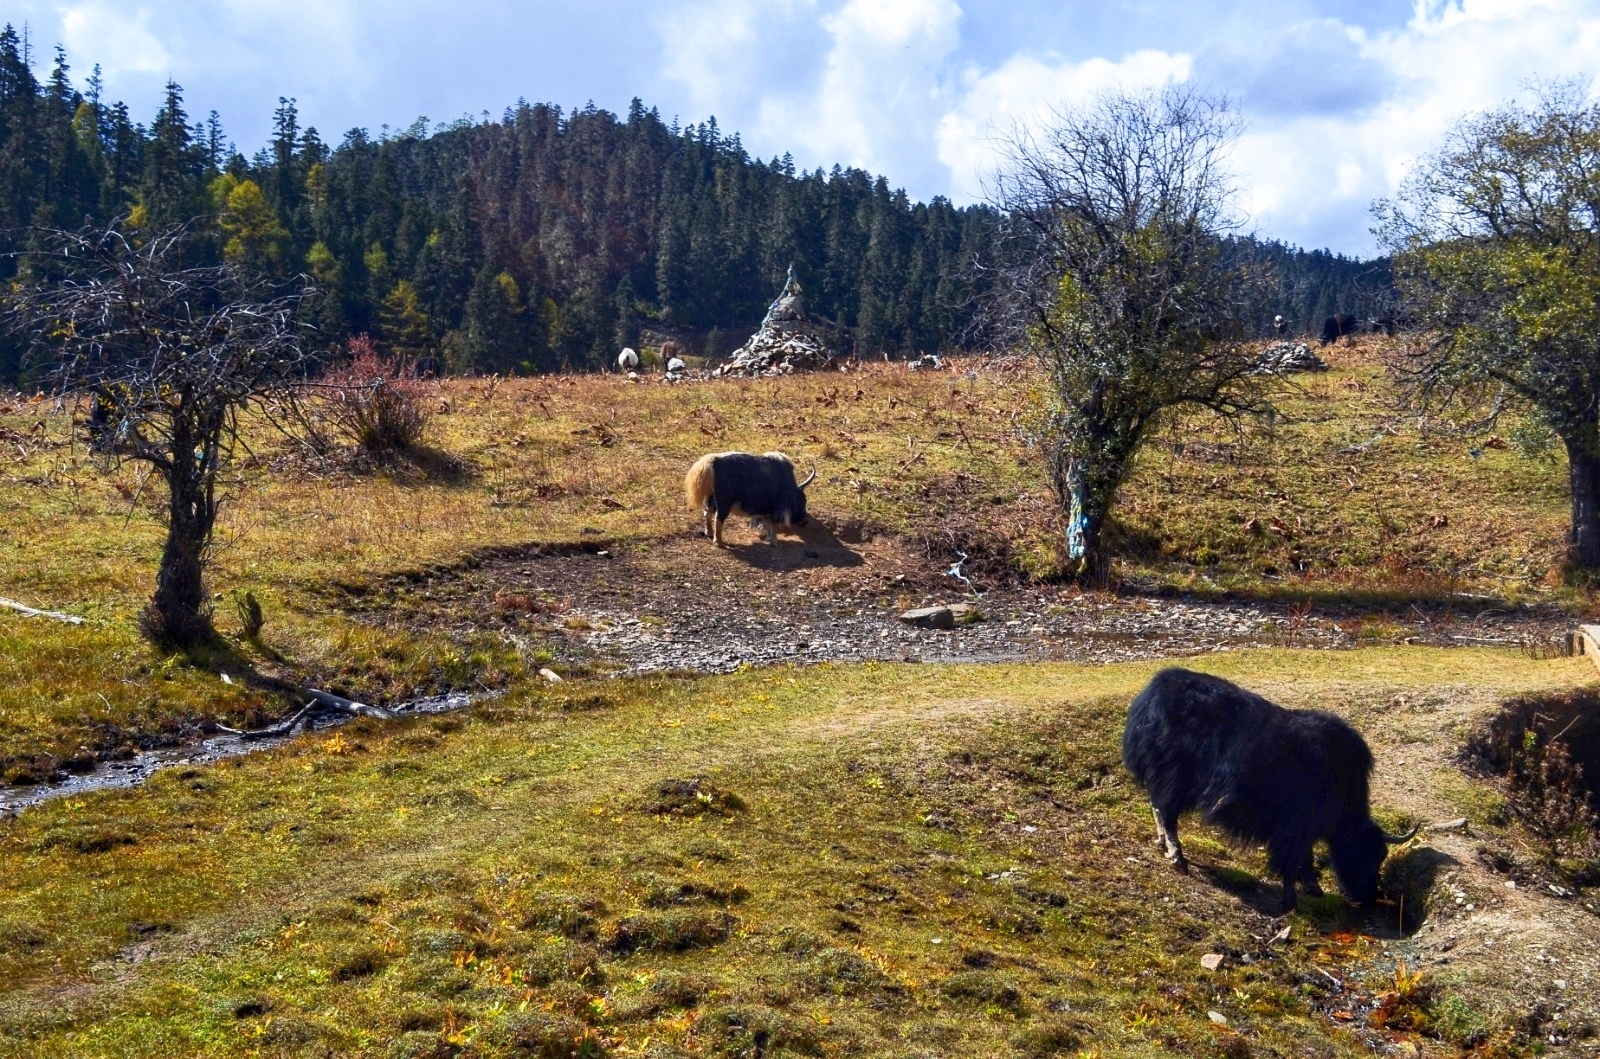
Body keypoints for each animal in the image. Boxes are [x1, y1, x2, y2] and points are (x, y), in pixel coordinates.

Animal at [684, 451, 812, 547]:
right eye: (803, 501)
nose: (805, 521)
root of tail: (713, 461)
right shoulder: (775, 509)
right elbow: (772, 524)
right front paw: (774, 541)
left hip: (711, 498)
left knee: (708, 513)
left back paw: (709, 533)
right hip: (724, 504)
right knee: (718, 519)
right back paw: (719, 542)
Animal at [1120, 671, 1420, 915]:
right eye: (1368, 854)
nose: (1367, 899)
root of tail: (1150, 698)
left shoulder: (1304, 828)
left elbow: (1306, 857)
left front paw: (1313, 888)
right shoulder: (1295, 827)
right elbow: (1292, 860)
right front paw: (1291, 902)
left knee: (1158, 807)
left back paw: (1163, 845)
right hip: (1173, 777)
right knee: (1167, 812)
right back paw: (1177, 857)